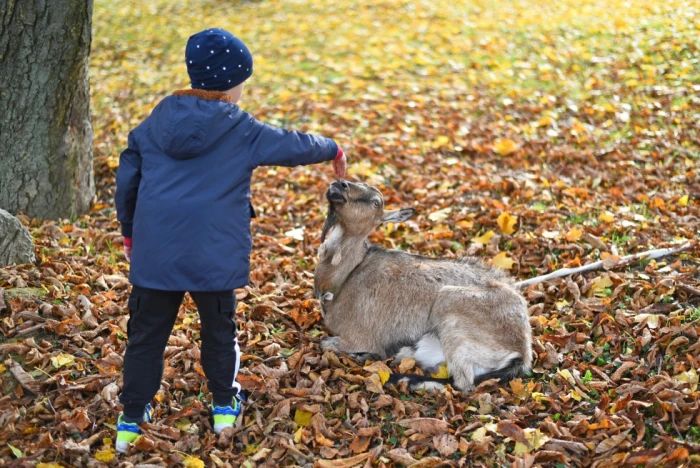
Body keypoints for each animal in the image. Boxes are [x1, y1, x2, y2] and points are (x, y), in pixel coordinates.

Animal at [312, 179, 532, 392]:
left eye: (376, 202)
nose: (340, 185)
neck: (346, 277)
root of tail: (522, 351)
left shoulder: (359, 336)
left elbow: (326, 343)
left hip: (451, 306)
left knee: (463, 384)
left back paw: (399, 378)